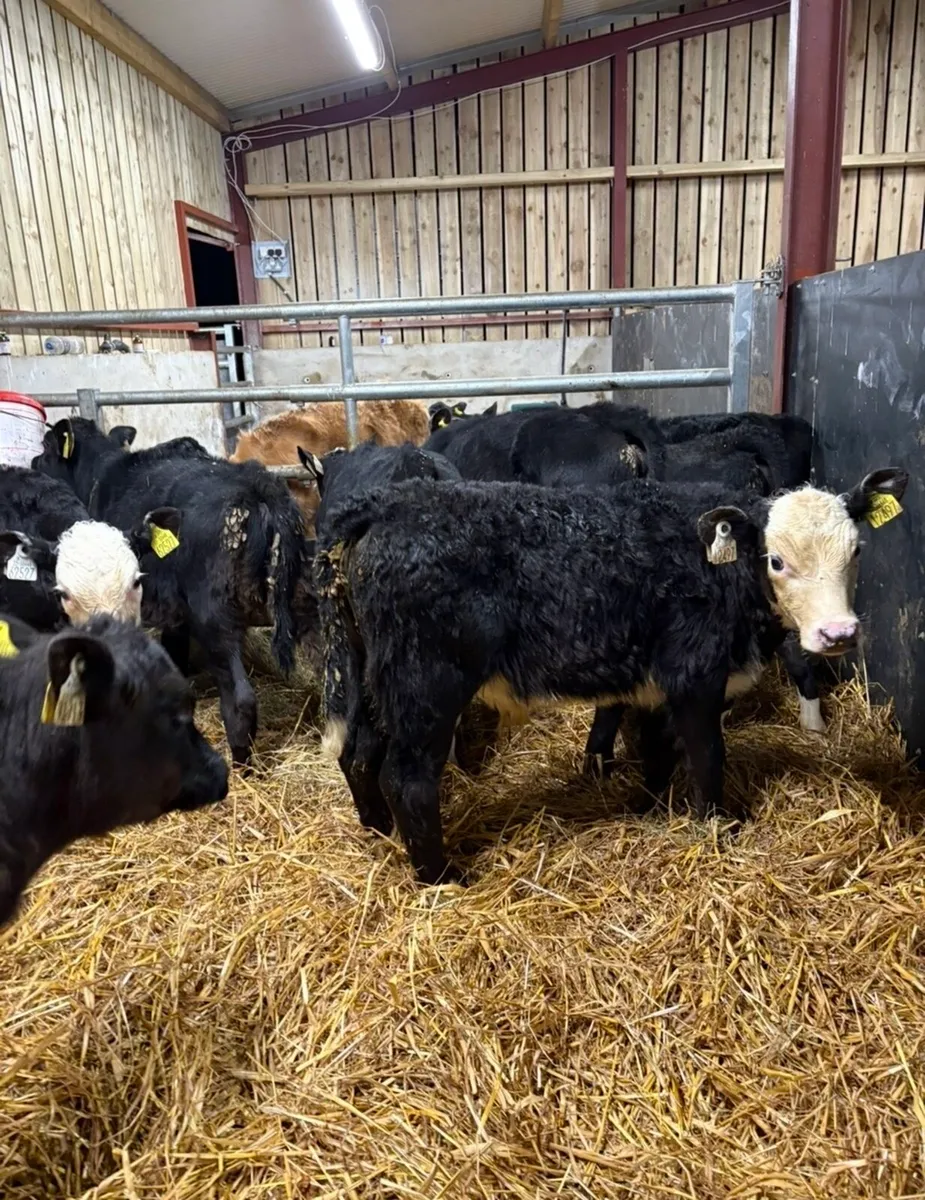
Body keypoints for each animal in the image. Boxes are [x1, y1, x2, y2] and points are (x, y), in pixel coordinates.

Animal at [32, 418, 310, 766]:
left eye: (46, 446)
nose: (32, 463)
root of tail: (258, 484)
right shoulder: (175, 613)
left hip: (214, 619)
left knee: (241, 700)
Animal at [314, 466, 906, 883]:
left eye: (856, 549)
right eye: (776, 560)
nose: (837, 633)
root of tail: (387, 503)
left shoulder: (655, 687)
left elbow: (657, 754)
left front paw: (648, 810)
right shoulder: (695, 677)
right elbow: (707, 757)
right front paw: (717, 827)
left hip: (376, 682)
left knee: (359, 755)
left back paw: (379, 832)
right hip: (425, 686)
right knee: (407, 778)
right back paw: (441, 877)